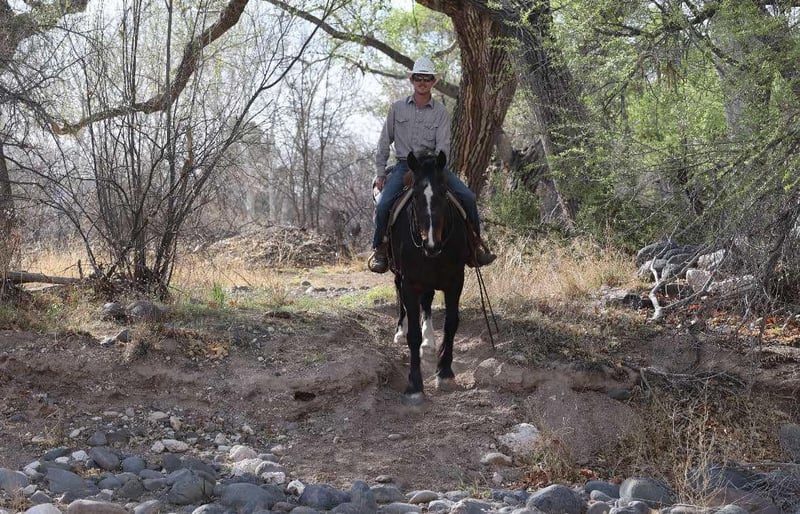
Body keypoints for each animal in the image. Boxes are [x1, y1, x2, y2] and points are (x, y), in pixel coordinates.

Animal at [389, 150, 469, 404]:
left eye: (444, 191)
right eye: (415, 194)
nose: (431, 244)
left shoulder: (456, 281)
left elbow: (451, 323)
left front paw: (444, 372)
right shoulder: (410, 283)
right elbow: (413, 334)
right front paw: (414, 385)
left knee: (427, 302)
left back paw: (429, 342)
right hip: (399, 274)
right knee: (402, 297)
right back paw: (400, 331)